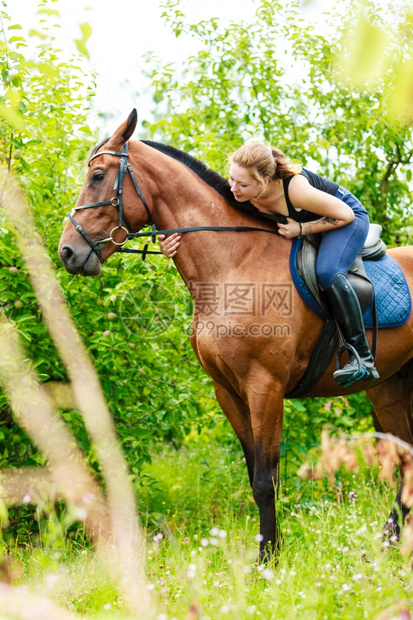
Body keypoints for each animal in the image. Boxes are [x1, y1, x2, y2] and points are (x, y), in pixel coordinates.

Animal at [58, 109, 413, 560]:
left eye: (99, 175)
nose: (67, 252)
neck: (232, 265)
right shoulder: (227, 390)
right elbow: (255, 475)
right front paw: (270, 549)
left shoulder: (265, 387)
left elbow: (265, 478)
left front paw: (267, 559)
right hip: (389, 385)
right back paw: (386, 542)